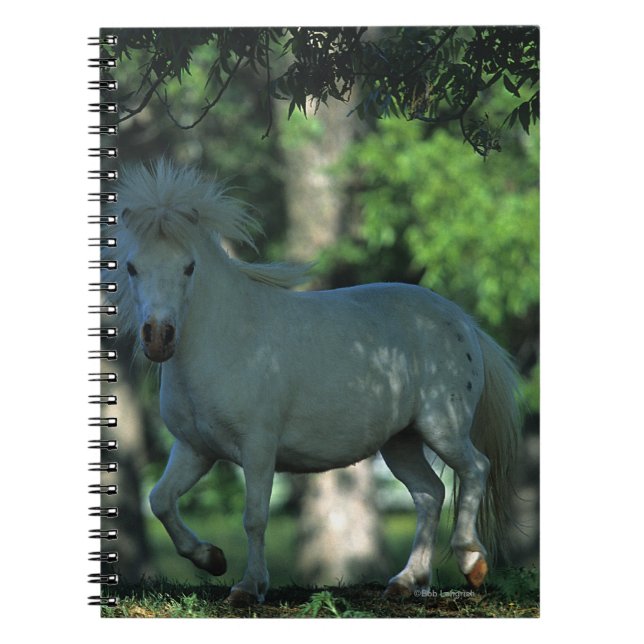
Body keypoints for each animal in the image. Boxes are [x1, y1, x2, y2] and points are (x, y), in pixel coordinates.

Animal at [107, 159, 523, 607]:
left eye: (189, 267)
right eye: (132, 267)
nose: (158, 338)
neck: (226, 338)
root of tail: (462, 321)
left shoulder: (257, 447)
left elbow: (254, 517)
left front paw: (248, 587)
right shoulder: (195, 449)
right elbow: (160, 501)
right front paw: (211, 559)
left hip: (442, 427)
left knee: (475, 468)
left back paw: (471, 563)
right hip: (401, 441)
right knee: (429, 493)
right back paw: (407, 581)